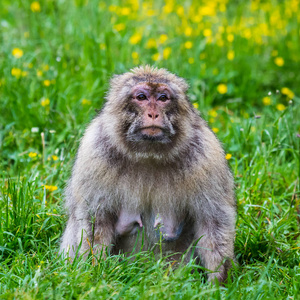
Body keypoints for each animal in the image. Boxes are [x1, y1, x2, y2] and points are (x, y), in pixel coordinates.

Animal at [59, 65, 236, 284]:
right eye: (141, 97)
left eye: (163, 98)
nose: (153, 113)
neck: (148, 153)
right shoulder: (94, 154)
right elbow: (95, 221)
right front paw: (93, 274)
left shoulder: (207, 158)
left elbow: (212, 222)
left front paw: (218, 282)